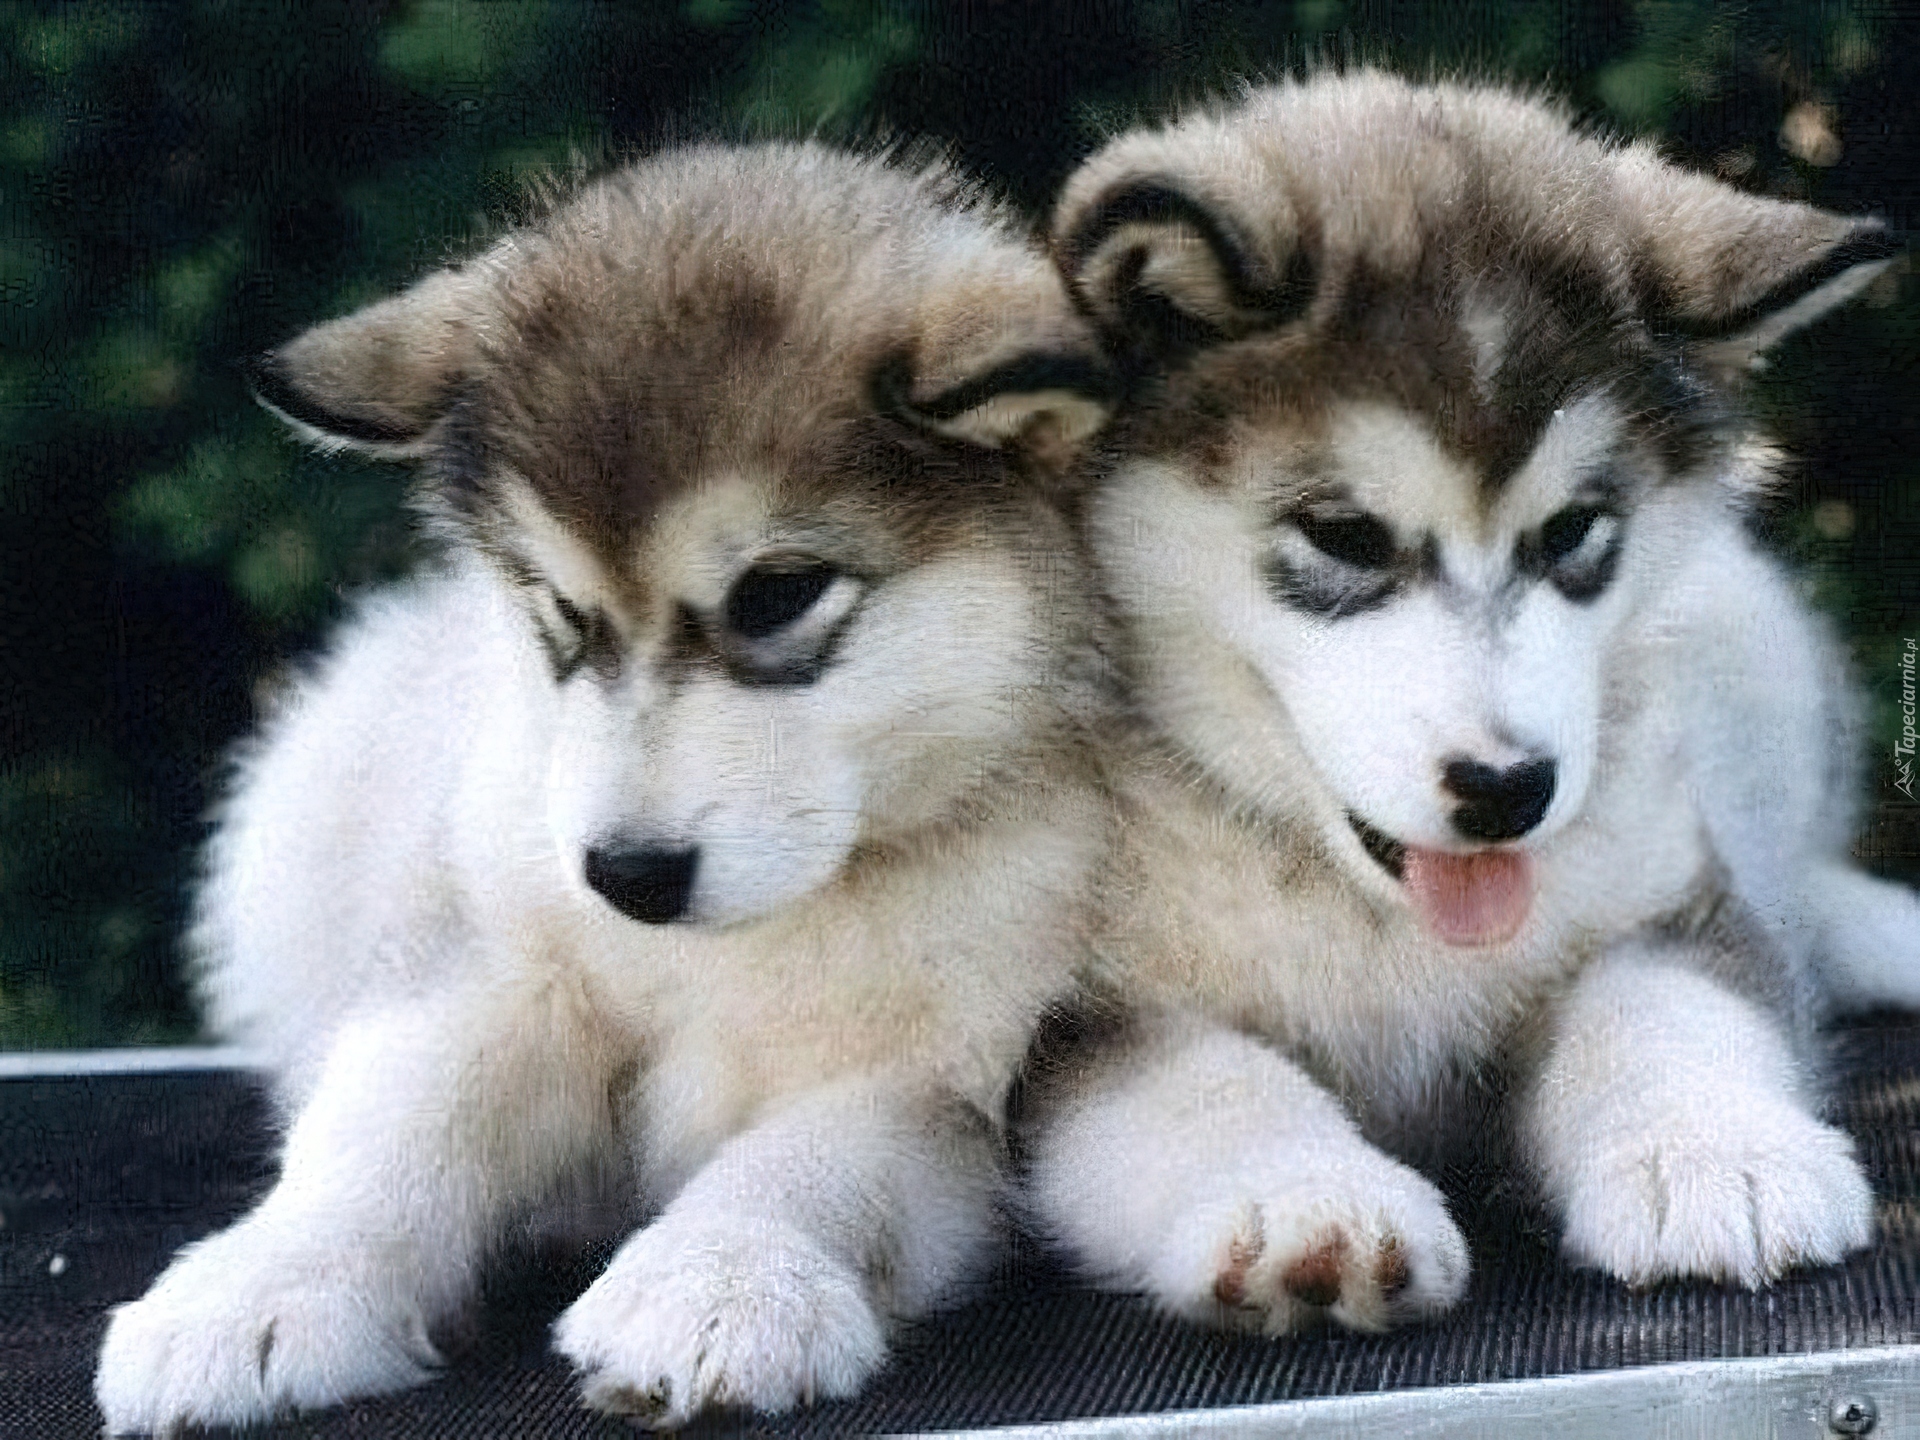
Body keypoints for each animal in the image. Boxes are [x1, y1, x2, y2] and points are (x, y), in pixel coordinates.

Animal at [1021, 70, 1920, 1344]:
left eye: (1574, 533)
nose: (1509, 791)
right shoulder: (1062, 1022)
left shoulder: (1666, 901)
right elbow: (1203, 1084)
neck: (1376, 914)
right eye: (1343, 535)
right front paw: (1308, 1197)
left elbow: (1664, 1005)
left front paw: (1712, 1152)